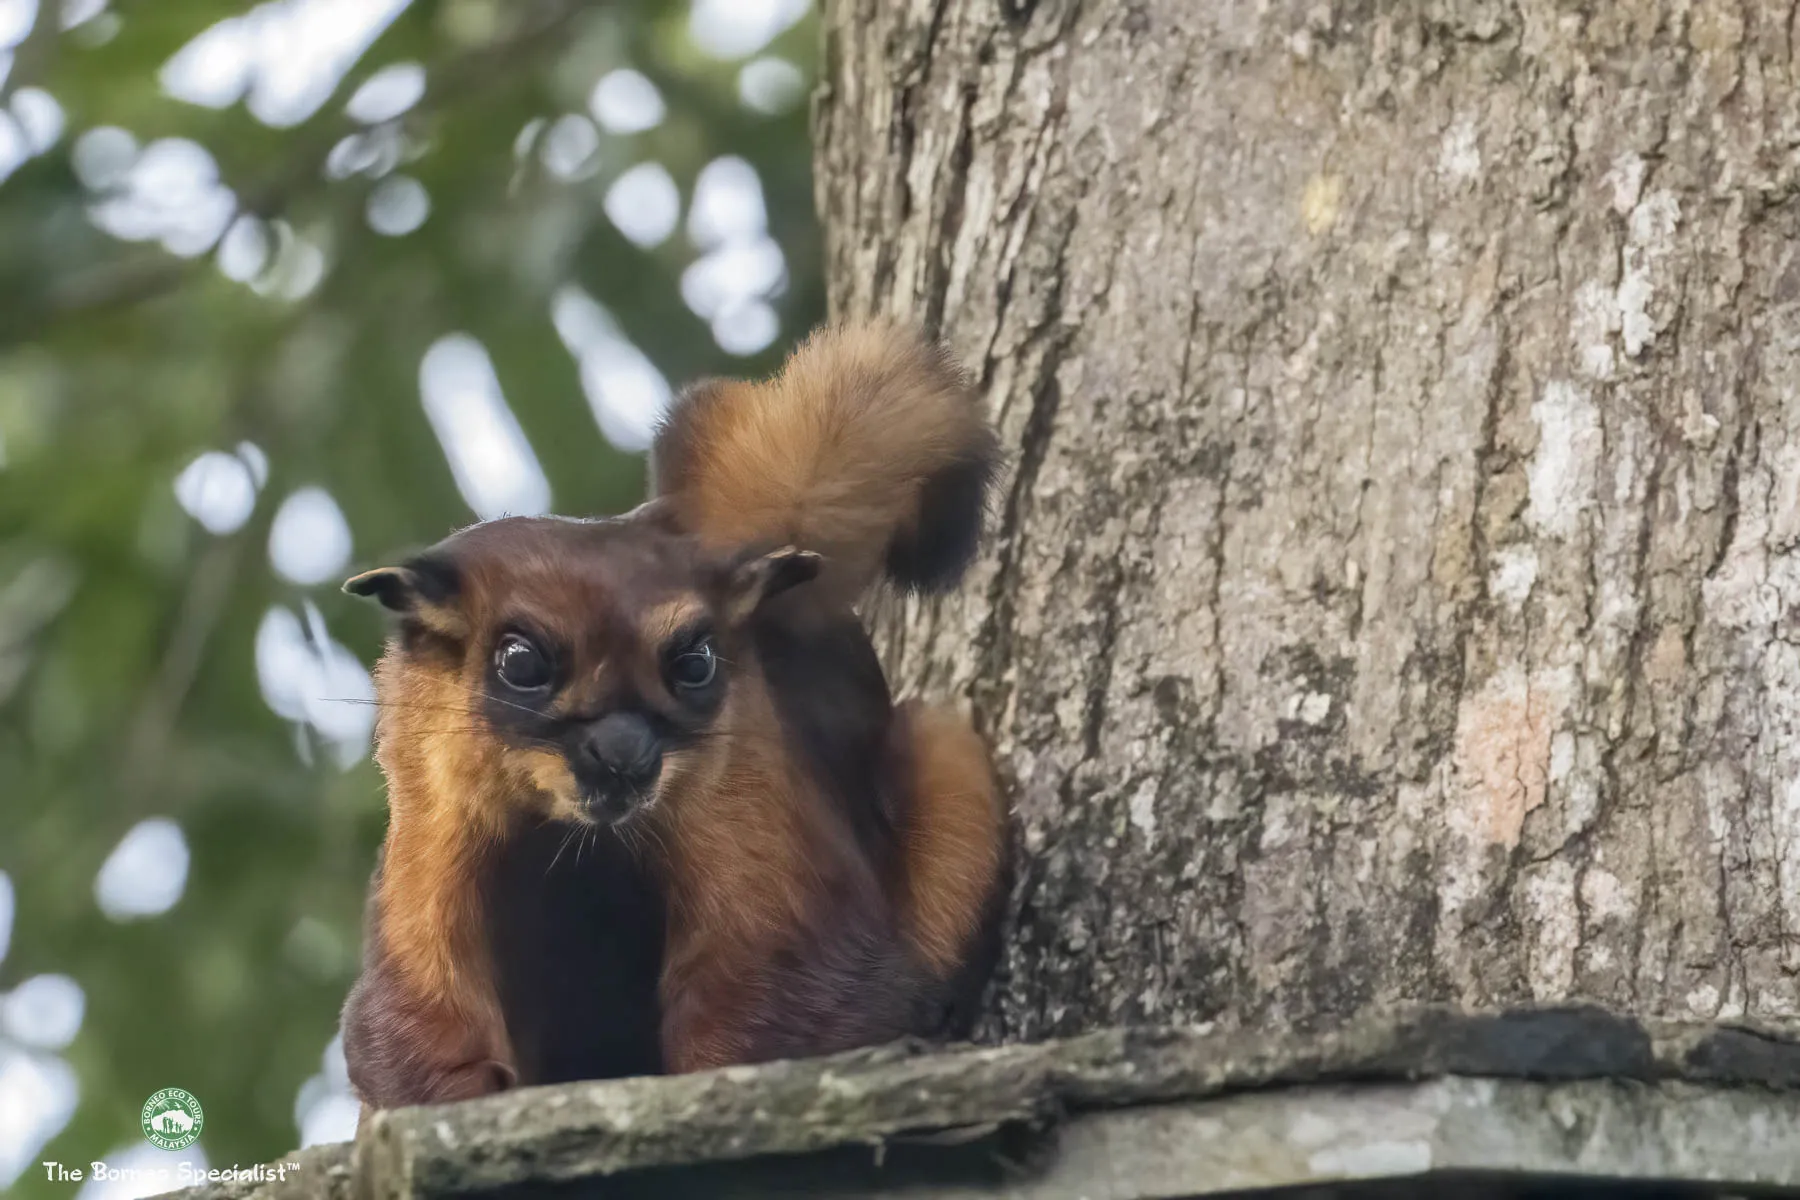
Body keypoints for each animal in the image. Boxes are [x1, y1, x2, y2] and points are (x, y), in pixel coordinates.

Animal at [339, 320, 1009, 1109]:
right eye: (522, 664)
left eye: (695, 663)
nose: (624, 751)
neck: (575, 841)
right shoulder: (431, 857)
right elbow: (422, 1041)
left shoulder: (766, 869)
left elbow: (772, 1020)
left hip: (943, 757)